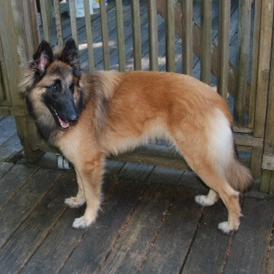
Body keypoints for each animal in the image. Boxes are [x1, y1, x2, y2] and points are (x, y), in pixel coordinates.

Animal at [21, 39, 253, 233]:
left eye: (71, 87)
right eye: (55, 87)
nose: (74, 117)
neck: (81, 99)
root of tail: (216, 97)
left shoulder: (90, 163)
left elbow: (93, 194)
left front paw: (87, 218)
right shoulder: (79, 161)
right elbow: (80, 185)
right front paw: (79, 200)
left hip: (197, 158)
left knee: (231, 193)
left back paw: (231, 225)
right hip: (203, 158)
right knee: (219, 184)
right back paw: (209, 200)